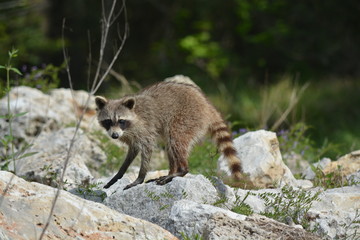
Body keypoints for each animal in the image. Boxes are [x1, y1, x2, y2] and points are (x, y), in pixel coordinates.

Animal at [95, 75, 242, 189]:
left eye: (121, 121)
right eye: (108, 121)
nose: (114, 136)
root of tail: (207, 105)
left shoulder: (145, 129)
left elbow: (147, 149)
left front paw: (140, 177)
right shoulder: (132, 138)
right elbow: (132, 152)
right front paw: (118, 174)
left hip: (187, 118)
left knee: (176, 140)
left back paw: (181, 170)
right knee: (170, 146)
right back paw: (171, 171)